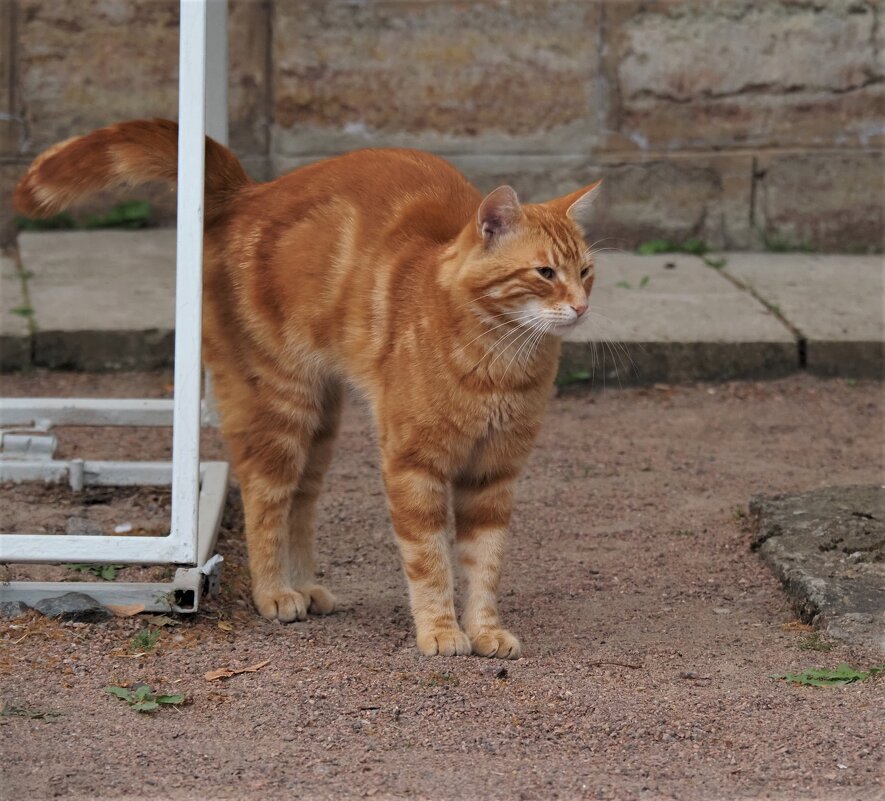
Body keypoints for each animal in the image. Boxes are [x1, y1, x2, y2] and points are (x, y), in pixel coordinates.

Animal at [15, 119, 600, 656]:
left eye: (586, 271)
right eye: (545, 273)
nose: (580, 307)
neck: (501, 360)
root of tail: (252, 191)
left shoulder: (494, 475)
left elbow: (485, 562)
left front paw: (484, 630)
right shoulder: (414, 467)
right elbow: (430, 559)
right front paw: (439, 631)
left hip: (321, 426)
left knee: (300, 501)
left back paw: (303, 586)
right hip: (280, 408)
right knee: (263, 496)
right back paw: (274, 592)